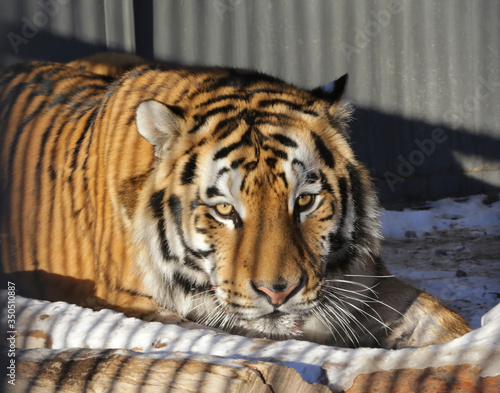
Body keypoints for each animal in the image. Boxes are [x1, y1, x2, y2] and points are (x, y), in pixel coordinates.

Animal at [0, 54, 470, 346]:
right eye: (225, 210)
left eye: (304, 201)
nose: (279, 292)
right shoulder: (137, 302)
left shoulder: (363, 281)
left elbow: (437, 317)